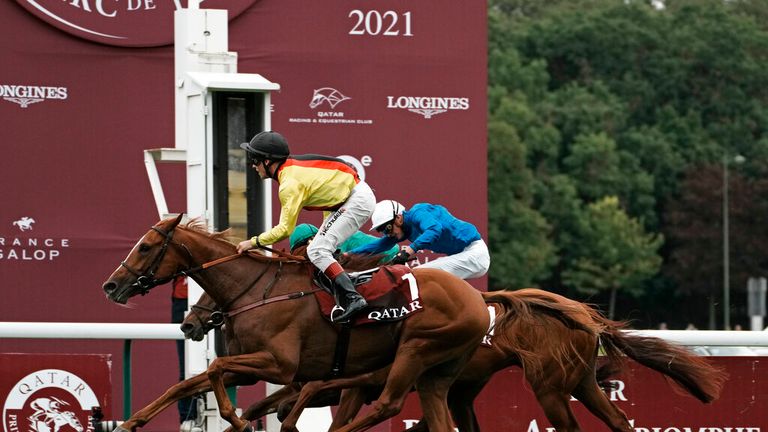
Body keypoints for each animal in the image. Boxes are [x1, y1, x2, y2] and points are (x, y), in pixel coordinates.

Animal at [102, 218, 488, 432]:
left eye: (146, 247)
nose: (110, 285)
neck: (256, 290)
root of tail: (478, 301)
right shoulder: (252, 369)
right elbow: (187, 384)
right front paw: (131, 423)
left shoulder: (280, 366)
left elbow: (215, 369)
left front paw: (238, 422)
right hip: (435, 374)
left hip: (415, 350)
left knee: (387, 405)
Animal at [180, 286, 728, 432]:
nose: (190, 323)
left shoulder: (362, 378)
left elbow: (310, 397)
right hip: (577, 382)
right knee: (616, 419)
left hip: (549, 386)